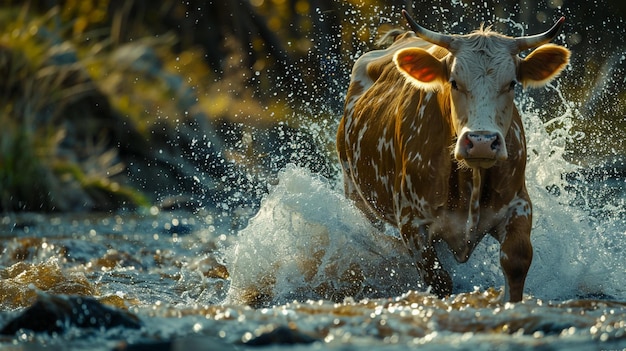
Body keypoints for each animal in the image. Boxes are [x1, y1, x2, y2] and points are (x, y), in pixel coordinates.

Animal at [338, 11, 568, 302]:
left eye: (512, 83)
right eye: (454, 82)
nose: (482, 142)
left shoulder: (518, 204)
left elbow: (517, 261)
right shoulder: (412, 222)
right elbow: (439, 280)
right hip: (357, 196)